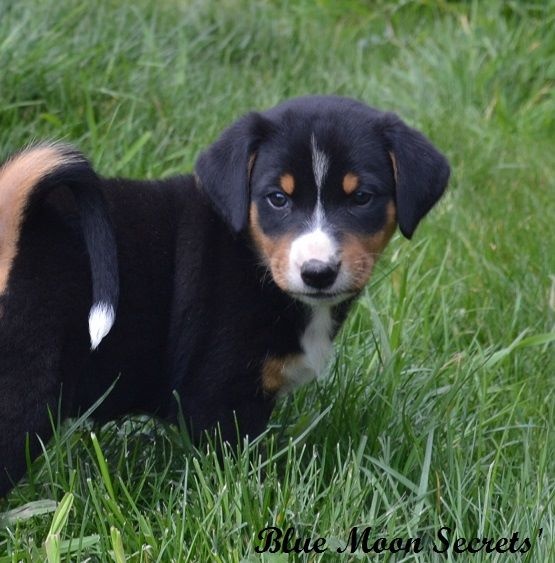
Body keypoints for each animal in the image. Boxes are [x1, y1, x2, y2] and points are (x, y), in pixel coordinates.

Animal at [0, 96, 449, 496]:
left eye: (361, 197)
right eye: (277, 198)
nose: (317, 272)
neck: (252, 255)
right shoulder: (220, 397)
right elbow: (238, 469)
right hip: (26, 388)